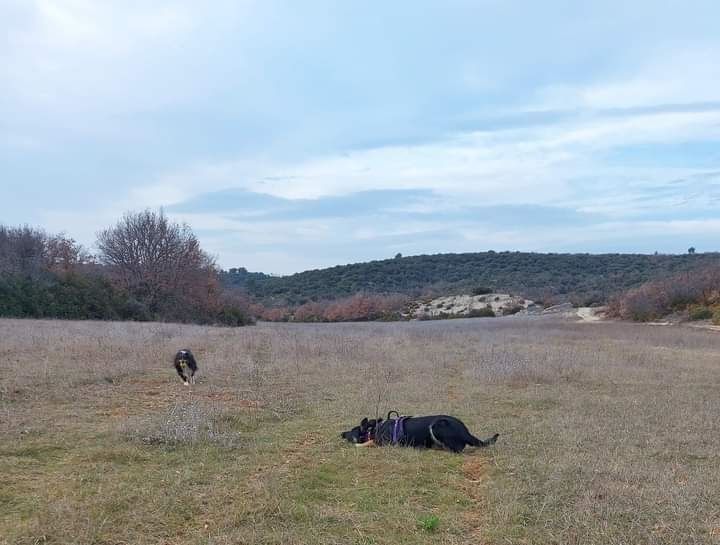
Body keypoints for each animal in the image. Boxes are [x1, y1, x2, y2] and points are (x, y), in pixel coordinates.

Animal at [340, 410, 498, 452]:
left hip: (437, 424)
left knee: (457, 449)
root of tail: (466, 431)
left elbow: (369, 442)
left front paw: (359, 445)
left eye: (351, 431)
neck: (373, 429)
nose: (341, 433)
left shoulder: (385, 443)